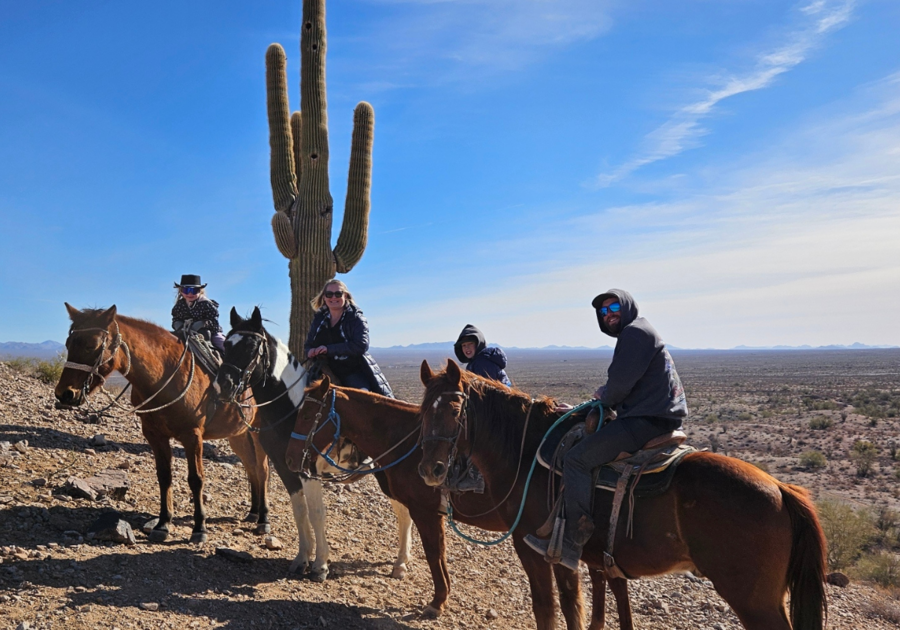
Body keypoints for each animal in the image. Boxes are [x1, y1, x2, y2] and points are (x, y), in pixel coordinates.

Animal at [214, 308, 414, 584]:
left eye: (252, 347)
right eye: (226, 346)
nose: (223, 386)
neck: (293, 408)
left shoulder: (309, 470)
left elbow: (317, 513)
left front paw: (320, 565)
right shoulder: (285, 468)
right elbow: (300, 511)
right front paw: (301, 559)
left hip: (386, 473)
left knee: (404, 511)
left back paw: (401, 563)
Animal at [282, 376, 632, 630]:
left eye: (308, 414)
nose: (290, 458)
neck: (408, 441)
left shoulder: (426, 511)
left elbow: (435, 554)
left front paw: (437, 601)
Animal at [418, 360, 828, 630]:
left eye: (454, 408)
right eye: (423, 410)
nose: (430, 470)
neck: (526, 452)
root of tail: (782, 490)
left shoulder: (534, 546)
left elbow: (550, 607)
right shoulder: (579, 556)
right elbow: (583, 605)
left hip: (754, 601)